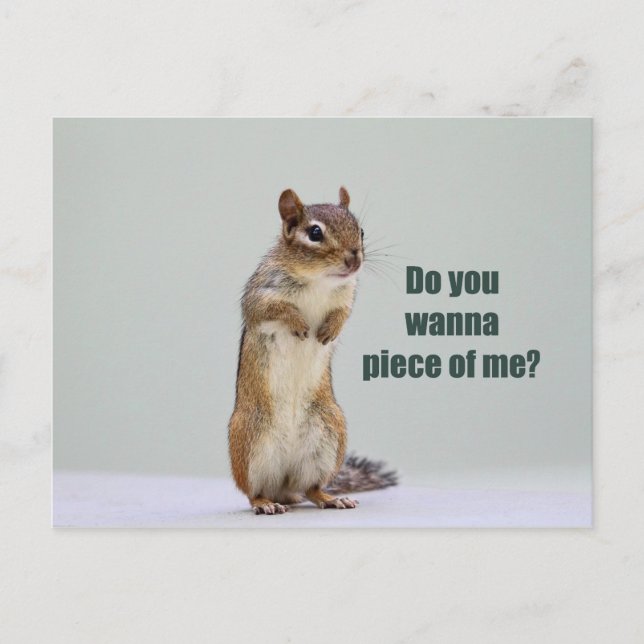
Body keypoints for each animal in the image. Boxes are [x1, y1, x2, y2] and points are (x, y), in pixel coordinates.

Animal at [228, 187, 396, 515]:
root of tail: (283, 487)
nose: (354, 259)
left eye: (360, 230)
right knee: (253, 491)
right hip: (249, 440)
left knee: (311, 487)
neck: (318, 280)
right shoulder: (261, 292)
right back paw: (265, 503)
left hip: (329, 434)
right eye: (315, 233)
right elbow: (271, 309)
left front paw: (329, 330)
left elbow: (342, 314)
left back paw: (331, 498)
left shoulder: (346, 297)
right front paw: (298, 323)